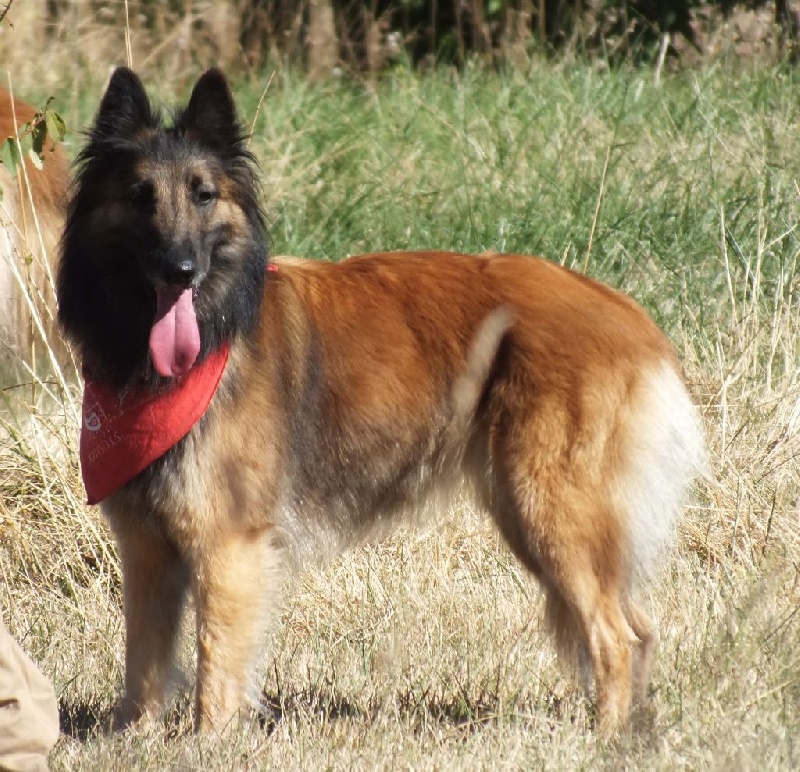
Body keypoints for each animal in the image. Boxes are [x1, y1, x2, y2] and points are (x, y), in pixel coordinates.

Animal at [57, 68, 708, 736]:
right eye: (140, 196)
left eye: (204, 195)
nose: (179, 270)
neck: (213, 331)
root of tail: (625, 313)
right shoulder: (147, 547)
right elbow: (144, 660)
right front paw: (133, 736)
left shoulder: (226, 543)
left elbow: (216, 661)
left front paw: (207, 741)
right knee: (638, 629)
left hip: (550, 512)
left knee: (615, 636)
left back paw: (604, 737)